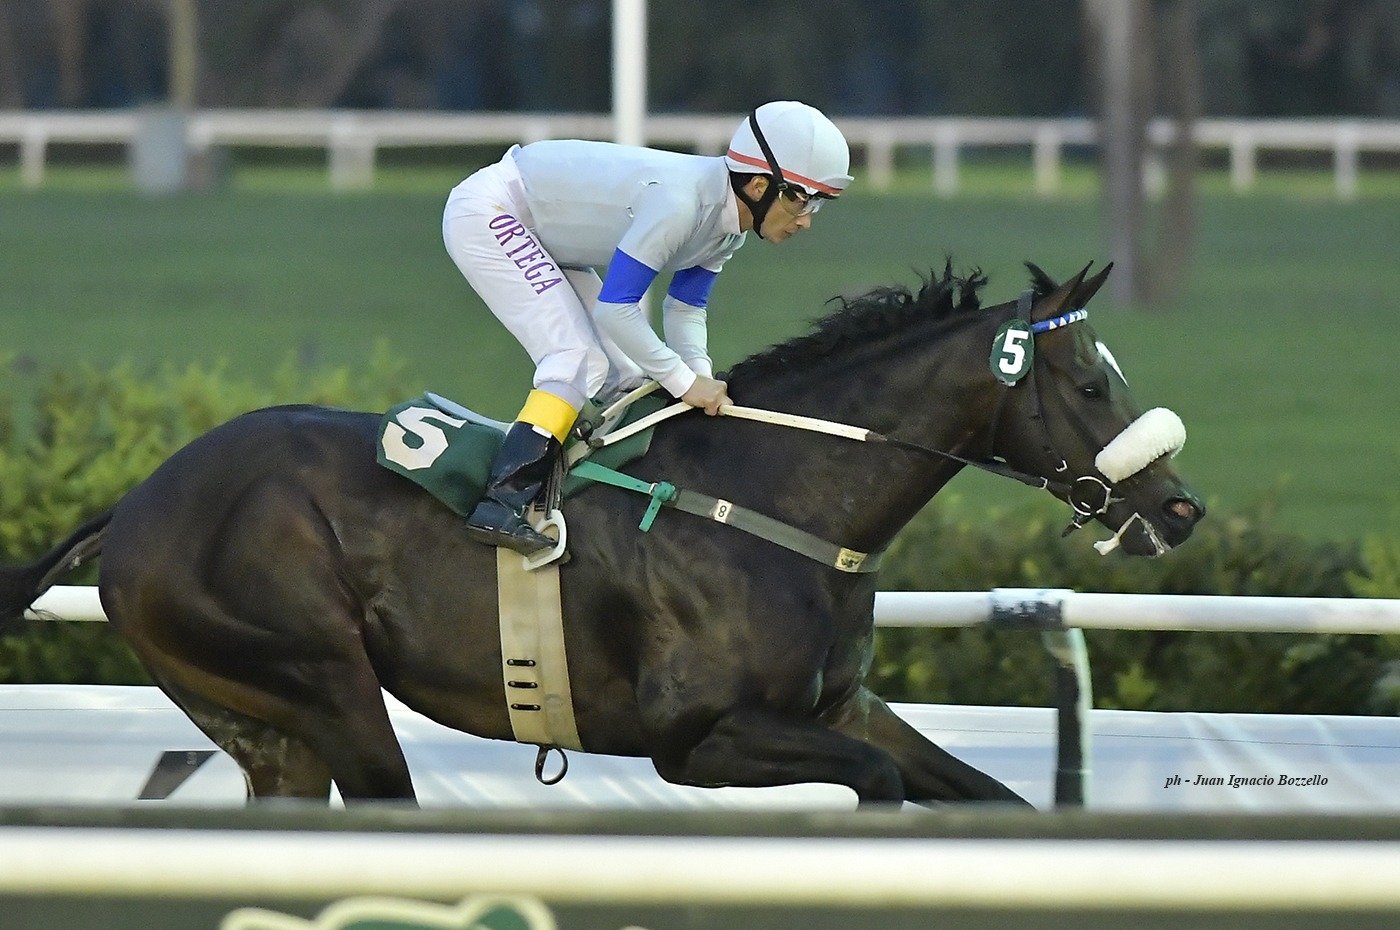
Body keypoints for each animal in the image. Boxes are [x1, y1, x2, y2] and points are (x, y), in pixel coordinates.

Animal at [0, 261, 1202, 807]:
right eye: (1089, 383)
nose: (1179, 507)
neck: (778, 501)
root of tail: (143, 500)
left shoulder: (837, 704)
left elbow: (984, 794)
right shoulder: (697, 738)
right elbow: (878, 784)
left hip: (260, 723)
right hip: (317, 677)